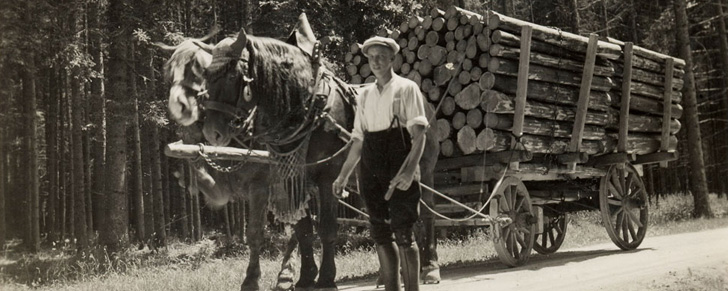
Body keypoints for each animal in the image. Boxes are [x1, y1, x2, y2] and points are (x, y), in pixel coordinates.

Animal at [196, 13, 440, 290]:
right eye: (206, 76)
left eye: (231, 76)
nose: (212, 132)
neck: (309, 108)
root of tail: (424, 100)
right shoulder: (292, 177)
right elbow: (302, 230)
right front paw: (304, 277)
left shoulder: (327, 177)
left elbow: (326, 228)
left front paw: (326, 277)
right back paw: (387, 273)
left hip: (421, 170)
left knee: (426, 213)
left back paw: (430, 267)